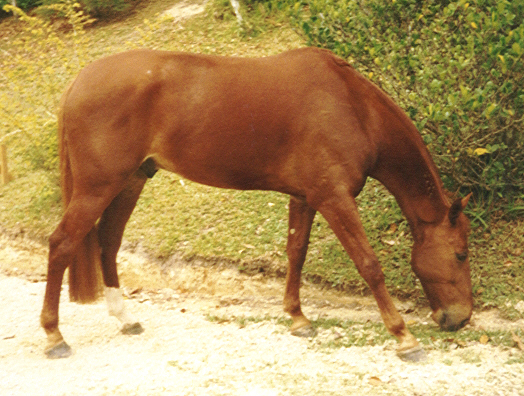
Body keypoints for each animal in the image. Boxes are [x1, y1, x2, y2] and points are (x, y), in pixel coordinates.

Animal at [42, 47, 474, 362]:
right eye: (460, 254)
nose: (459, 318)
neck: (353, 106)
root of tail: (79, 81)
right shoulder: (334, 197)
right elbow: (369, 265)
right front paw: (404, 337)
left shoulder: (306, 196)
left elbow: (296, 252)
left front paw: (298, 318)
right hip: (98, 187)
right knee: (62, 243)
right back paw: (53, 335)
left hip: (130, 182)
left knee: (108, 242)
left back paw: (125, 319)